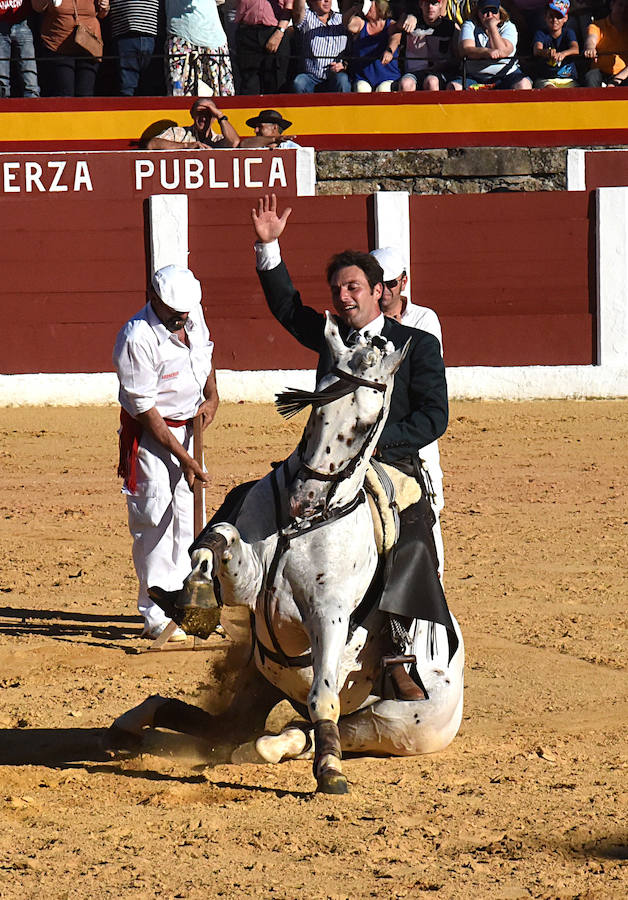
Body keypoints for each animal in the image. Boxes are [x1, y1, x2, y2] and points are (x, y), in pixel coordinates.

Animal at [108, 316, 464, 796]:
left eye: (365, 422)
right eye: (317, 407)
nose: (303, 500)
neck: (303, 527)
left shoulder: (329, 614)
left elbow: (323, 696)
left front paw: (330, 773)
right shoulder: (248, 582)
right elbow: (220, 537)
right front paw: (197, 589)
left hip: (398, 724)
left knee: (316, 725)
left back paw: (282, 749)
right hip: (262, 682)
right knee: (229, 725)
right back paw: (143, 721)